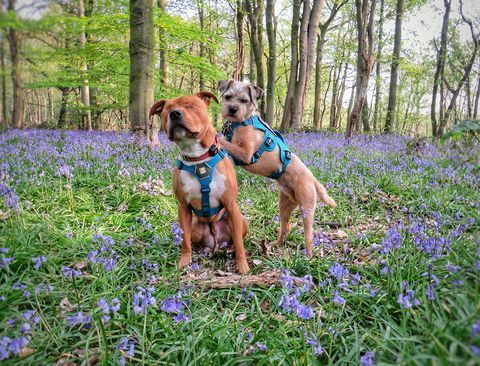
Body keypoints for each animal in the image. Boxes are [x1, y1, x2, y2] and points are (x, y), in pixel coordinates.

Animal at [149, 92, 248, 274]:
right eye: (167, 109)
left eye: (190, 106)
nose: (175, 114)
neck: (198, 158)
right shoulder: (183, 207)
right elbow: (185, 240)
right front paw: (184, 261)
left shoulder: (231, 205)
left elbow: (239, 242)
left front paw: (242, 265)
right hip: (194, 224)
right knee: (191, 239)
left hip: (240, 220)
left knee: (235, 239)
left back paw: (229, 249)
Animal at [218, 81, 338, 254]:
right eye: (227, 97)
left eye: (244, 100)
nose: (232, 109)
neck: (243, 122)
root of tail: (312, 179)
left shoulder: (246, 153)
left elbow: (223, 142)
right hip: (284, 206)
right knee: (286, 227)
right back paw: (276, 244)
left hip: (306, 208)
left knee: (309, 234)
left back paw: (307, 254)